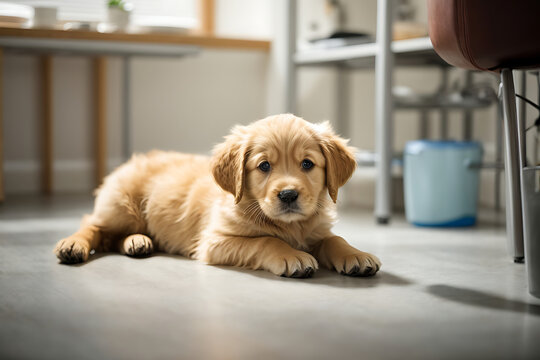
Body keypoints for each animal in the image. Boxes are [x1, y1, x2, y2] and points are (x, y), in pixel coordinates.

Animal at [53, 114, 380, 278]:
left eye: (308, 164)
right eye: (264, 166)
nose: (288, 195)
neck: (290, 226)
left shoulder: (317, 230)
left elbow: (334, 239)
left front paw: (355, 254)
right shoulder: (214, 242)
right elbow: (265, 240)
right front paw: (291, 255)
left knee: (115, 236)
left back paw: (137, 242)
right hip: (121, 207)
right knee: (93, 226)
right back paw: (73, 245)